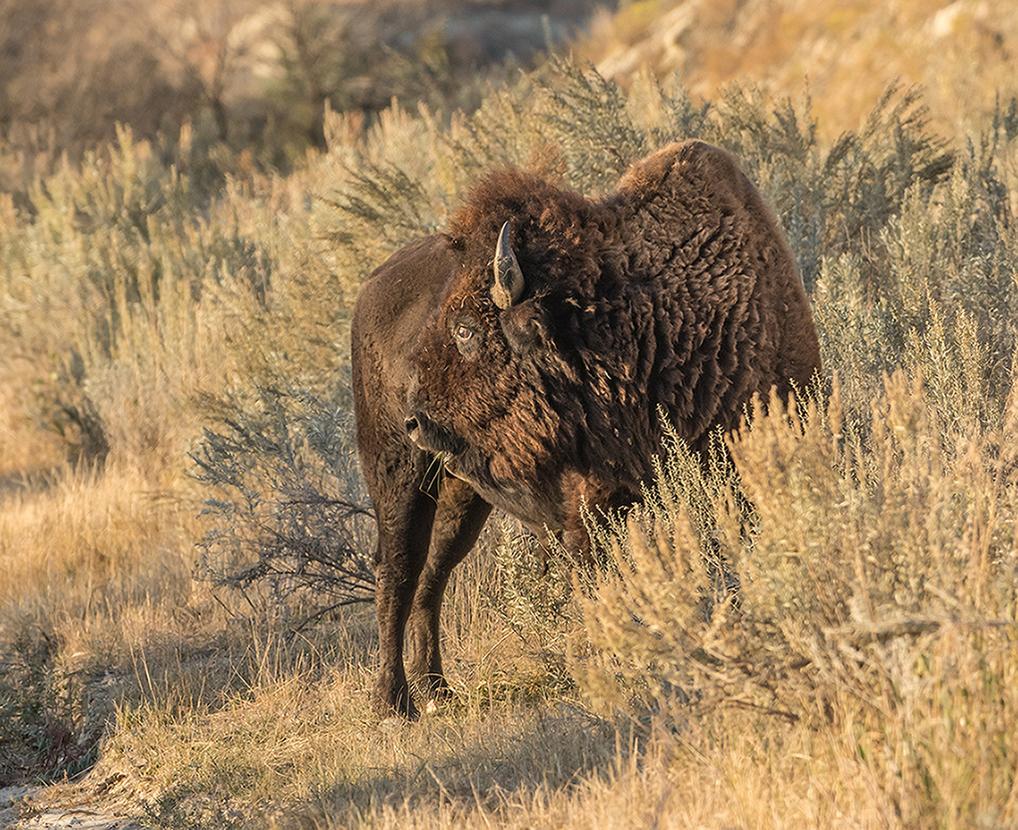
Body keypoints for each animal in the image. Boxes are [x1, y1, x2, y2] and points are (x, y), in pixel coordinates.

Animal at [351, 139, 821, 718]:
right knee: (396, 570)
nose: (416, 417)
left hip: (461, 495)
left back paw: (435, 688)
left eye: (465, 330)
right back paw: (393, 701)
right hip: (398, 477)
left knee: (432, 574)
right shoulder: (590, 510)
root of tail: (371, 286)